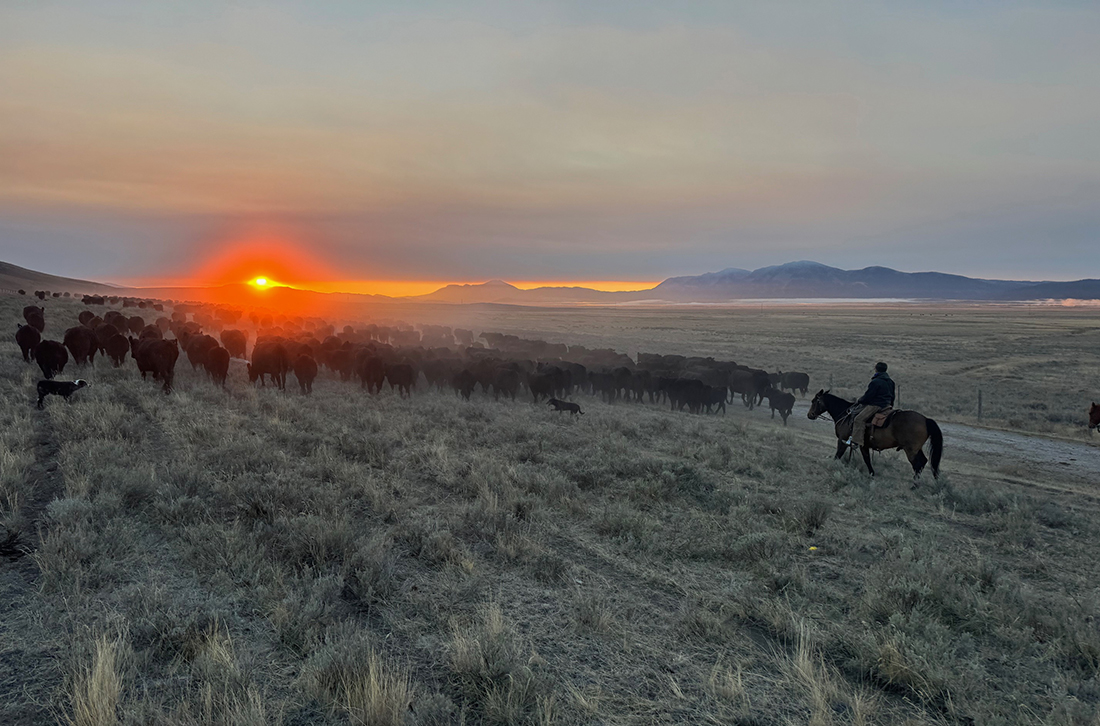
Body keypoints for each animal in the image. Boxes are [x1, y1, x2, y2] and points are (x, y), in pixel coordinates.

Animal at [805, 391, 941, 481]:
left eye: (814, 401)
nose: (809, 415)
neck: (845, 414)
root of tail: (925, 419)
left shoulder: (843, 440)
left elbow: (838, 455)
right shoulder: (863, 445)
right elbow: (867, 459)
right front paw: (871, 474)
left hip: (910, 450)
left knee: (917, 465)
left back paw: (914, 485)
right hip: (916, 448)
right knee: (923, 462)